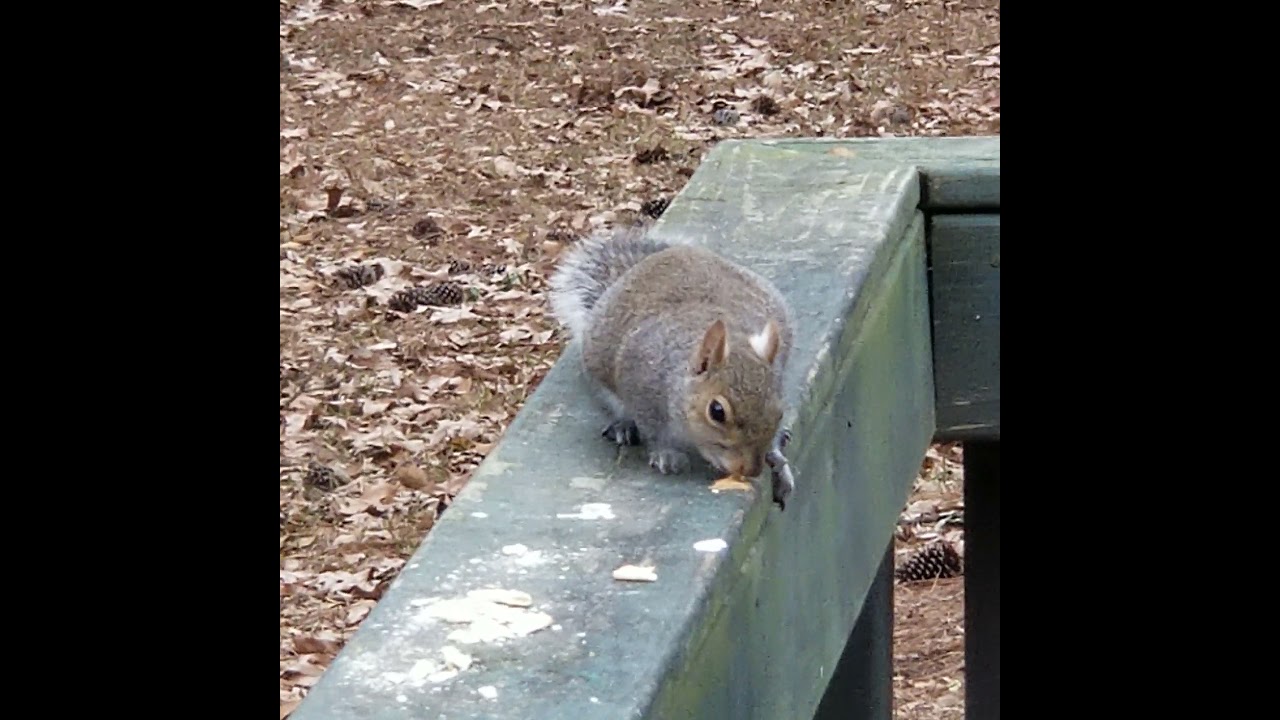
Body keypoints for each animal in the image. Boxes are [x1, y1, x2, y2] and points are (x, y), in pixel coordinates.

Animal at [547, 224, 797, 509]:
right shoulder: (641, 384)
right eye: (717, 412)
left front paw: (777, 459)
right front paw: (666, 455)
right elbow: (653, 429)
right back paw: (623, 426)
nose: (752, 469)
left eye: (779, 411)